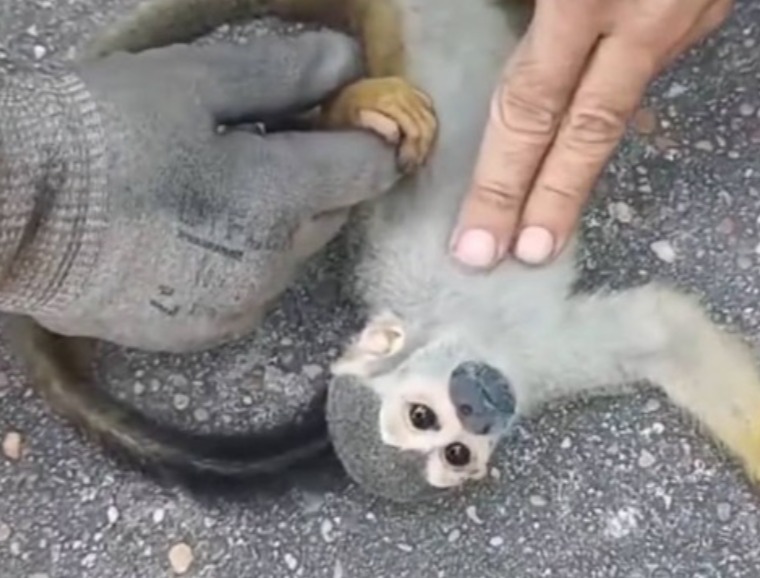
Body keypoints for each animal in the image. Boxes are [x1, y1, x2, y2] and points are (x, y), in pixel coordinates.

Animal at [321, 0, 760, 504]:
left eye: (420, 416)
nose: (477, 408)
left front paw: (359, 108)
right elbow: (665, 334)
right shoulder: (540, 365)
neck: (474, 330)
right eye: (456, 453)